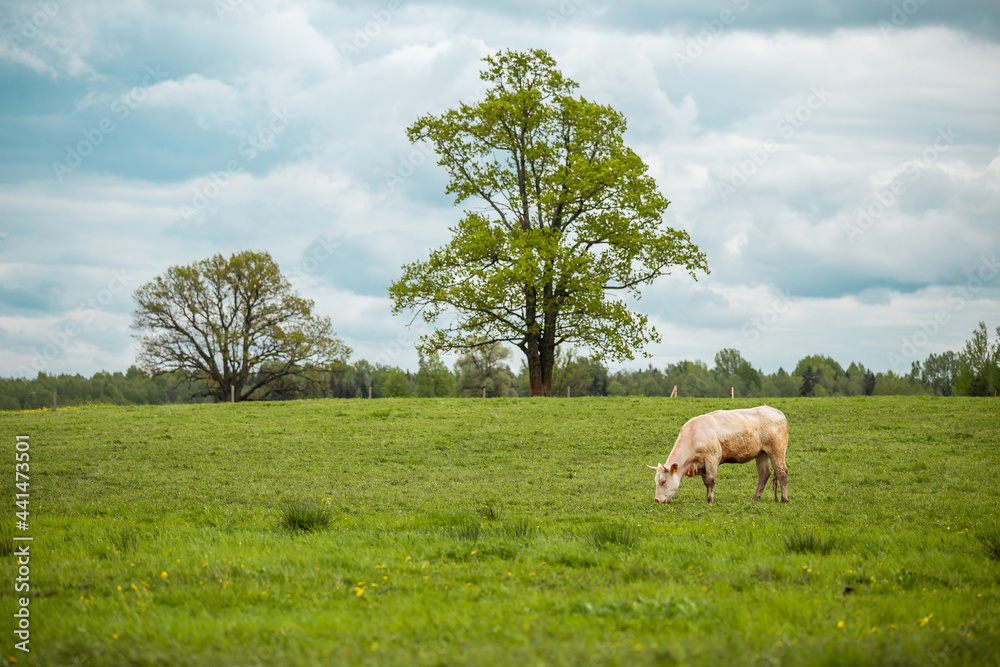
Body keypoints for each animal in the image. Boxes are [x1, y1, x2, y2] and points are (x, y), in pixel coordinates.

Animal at [647, 405, 789, 504]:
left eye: (663, 481)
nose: (657, 500)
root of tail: (776, 411)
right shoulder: (702, 465)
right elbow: (706, 482)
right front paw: (707, 498)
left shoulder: (712, 458)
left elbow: (710, 480)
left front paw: (710, 501)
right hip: (761, 453)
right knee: (764, 474)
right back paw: (755, 498)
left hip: (777, 450)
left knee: (782, 472)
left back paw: (784, 499)